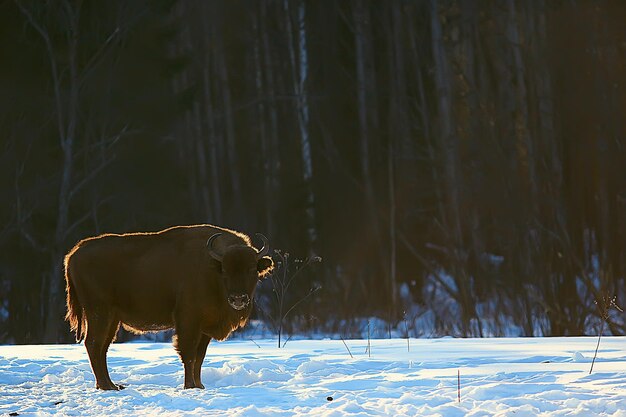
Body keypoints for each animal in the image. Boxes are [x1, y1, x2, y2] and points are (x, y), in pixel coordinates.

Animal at [62, 224, 272, 390]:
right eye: (225, 270)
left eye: (252, 269)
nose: (238, 299)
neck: (212, 270)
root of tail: (73, 254)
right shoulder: (188, 321)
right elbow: (189, 354)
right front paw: (190, 386)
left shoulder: (205, 327)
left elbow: (200, 357)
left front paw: (200, 385)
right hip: (99, 312)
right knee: (93, 344)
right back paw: (106, 386)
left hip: (112, 318)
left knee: (102, 347)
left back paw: (111, 385)